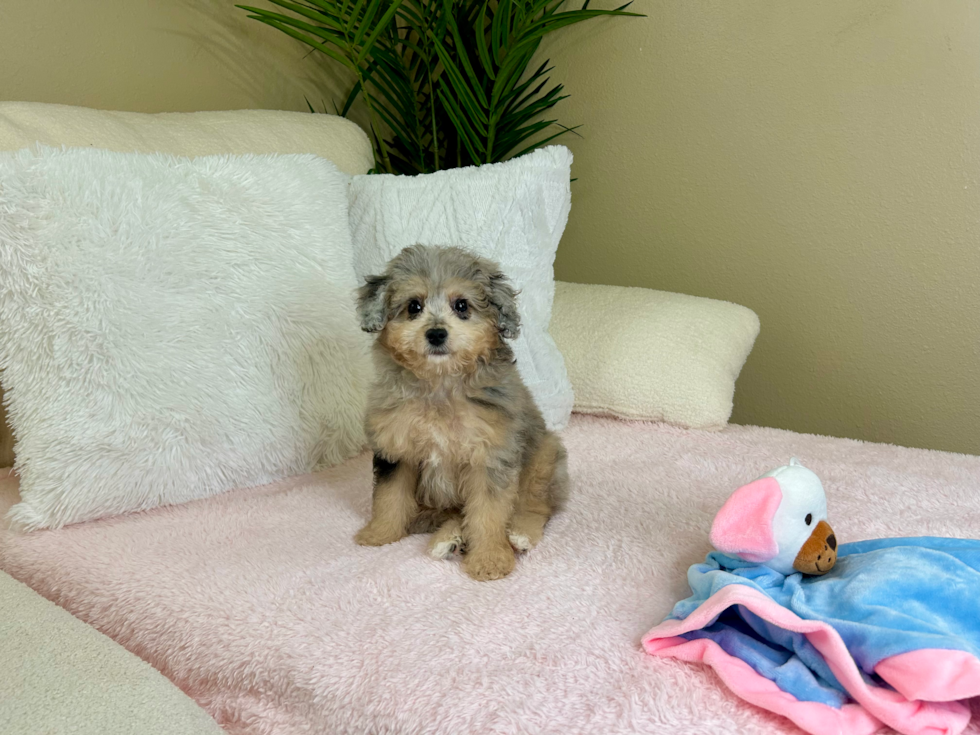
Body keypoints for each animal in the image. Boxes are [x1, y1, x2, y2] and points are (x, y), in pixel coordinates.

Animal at [352, 247, 568, 580]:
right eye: (414, 306)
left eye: (462, 305)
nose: (436, 334)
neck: (440, 385)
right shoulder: (396, 449)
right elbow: (389, 497)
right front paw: (380, 533)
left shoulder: (490, 456)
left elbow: (488, 514)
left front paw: (489, 559)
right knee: (453, 516)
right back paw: (448, 540)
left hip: (544, 457)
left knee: (536, 506)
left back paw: (519, 534)